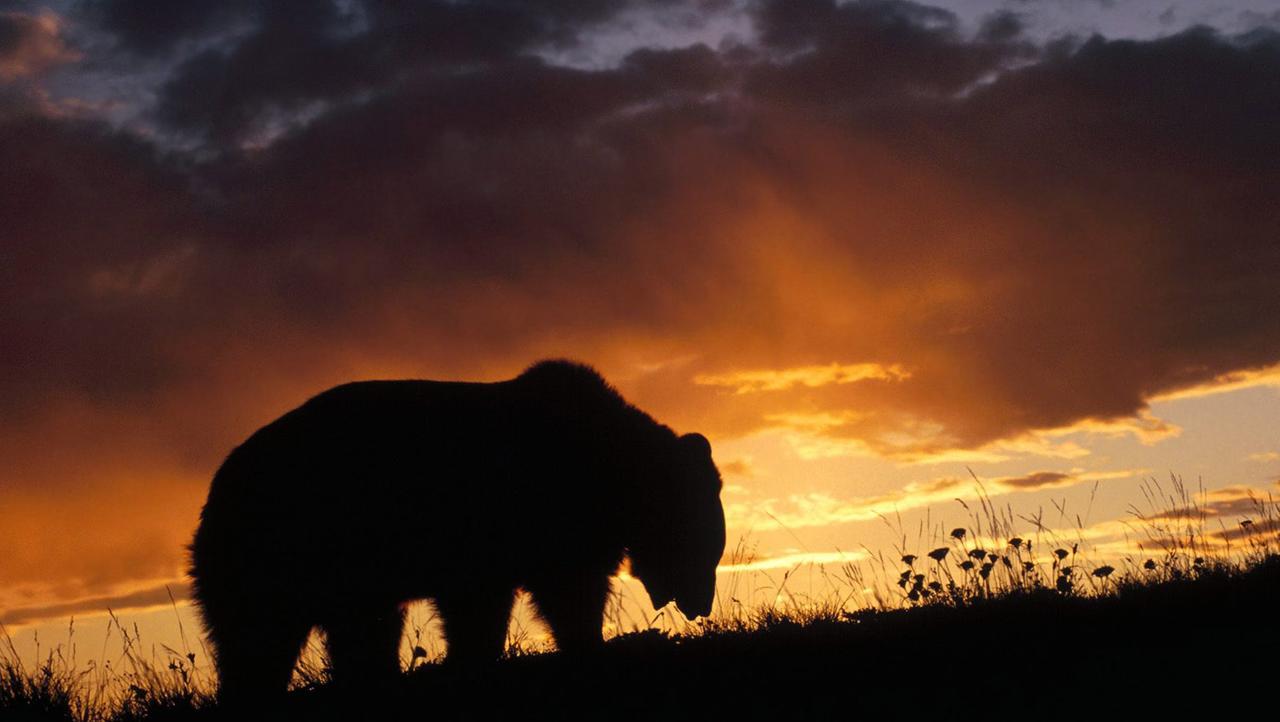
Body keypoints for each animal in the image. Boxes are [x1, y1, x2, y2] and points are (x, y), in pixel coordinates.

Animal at [190, 358, 732, 701]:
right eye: (706, 548)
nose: (701, 605)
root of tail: (218, 486)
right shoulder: (522, 519)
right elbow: (551, 595)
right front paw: (590, 645)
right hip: (283, 547)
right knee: (257, 638)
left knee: (352, 633)